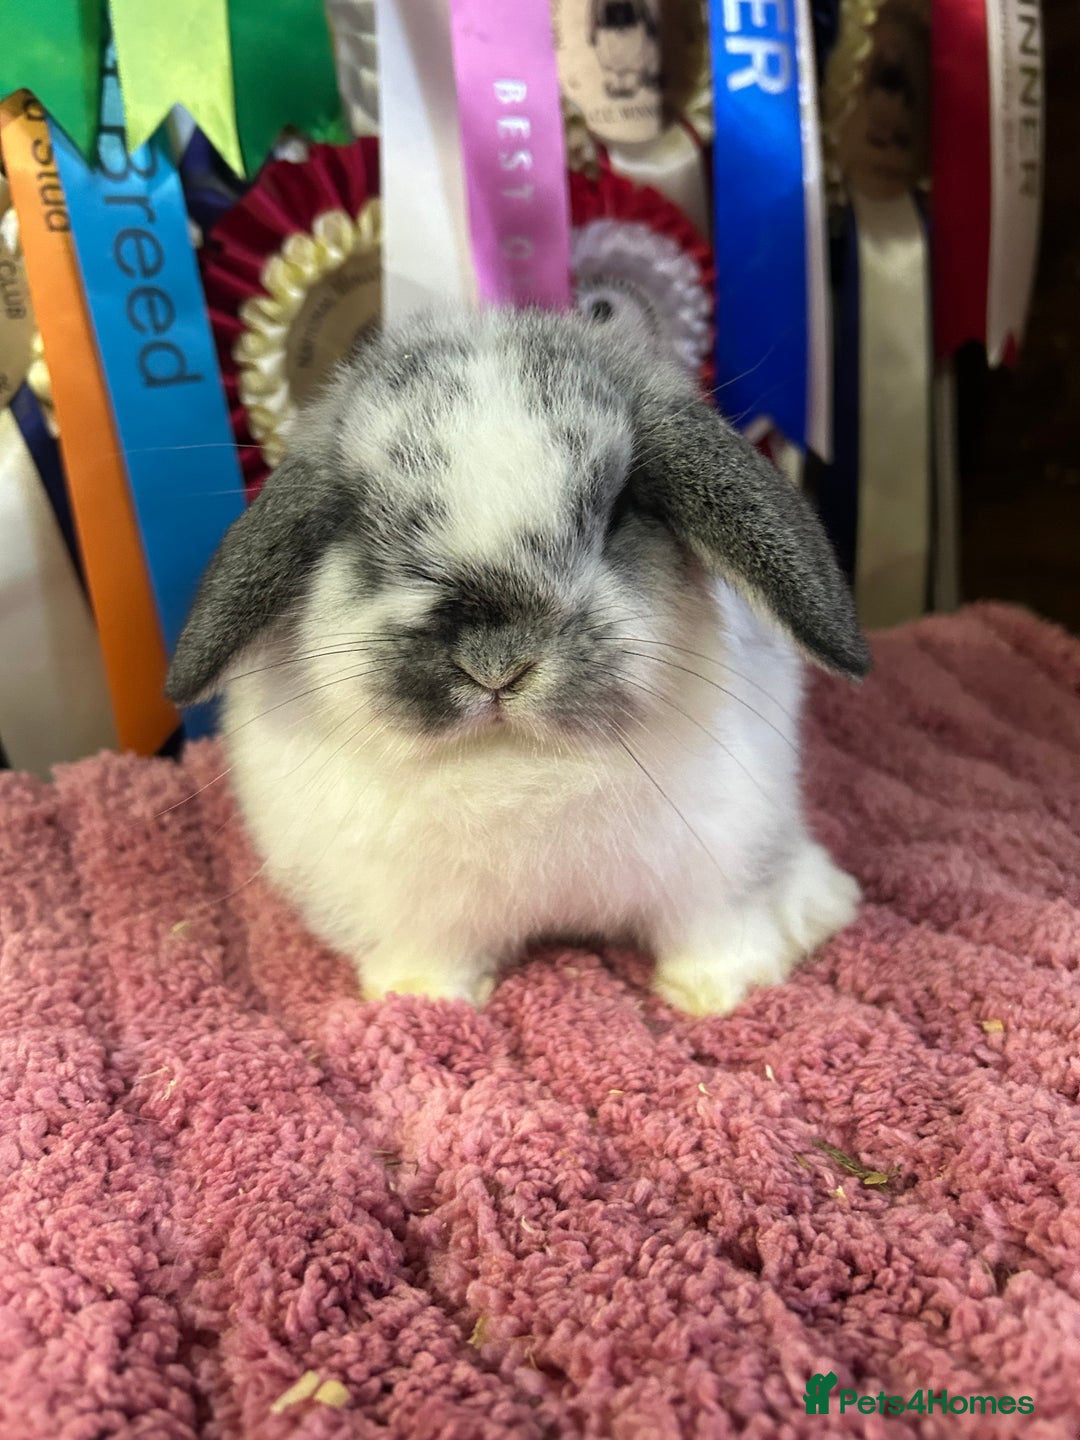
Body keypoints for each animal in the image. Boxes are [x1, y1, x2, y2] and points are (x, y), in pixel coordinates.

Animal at [167, 306, 869, 1016]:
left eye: (619, 513)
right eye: (366, 528)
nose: (496, 667)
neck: (518, 764)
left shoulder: (718, 863)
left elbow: (715, 931)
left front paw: (716, 995)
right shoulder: (416, 909)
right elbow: (432, 953)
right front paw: (420, 999)